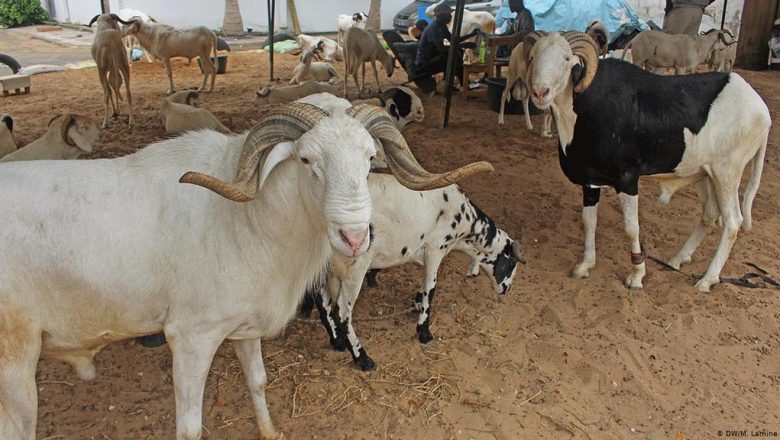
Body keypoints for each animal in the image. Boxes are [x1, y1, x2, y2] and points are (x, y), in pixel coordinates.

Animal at [0, 101, 492, 439]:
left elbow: (258, 381)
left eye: (371, 159)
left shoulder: (244, 327)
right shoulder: (191, 337)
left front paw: (269, 430)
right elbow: (189, 427)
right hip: (15, 359)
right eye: (307, 160)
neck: (247, 219)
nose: (356, 238)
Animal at [307, 174, 523, 370]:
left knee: (323, 302)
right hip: (355, 267)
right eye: (512, 262)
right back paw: (363, 359)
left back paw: (338, 342)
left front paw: (416, 303)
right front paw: (424, 332)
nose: (507, 289)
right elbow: (431, 287)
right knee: (343, 311)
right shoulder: (436, 248)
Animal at [522, 31, 770, 292]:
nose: (540, 92)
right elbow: (589, 222)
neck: (584, 109)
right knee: (710, 215)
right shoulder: (591, 181)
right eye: (533, 56)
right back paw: (677, 260)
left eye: (567, 59)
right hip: (704, 173)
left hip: (727, 172)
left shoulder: (627, 178)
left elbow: (631, 229)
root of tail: (762, 111)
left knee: (732, 222)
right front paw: (585, 266)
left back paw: (706, 280)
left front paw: (636, 276)